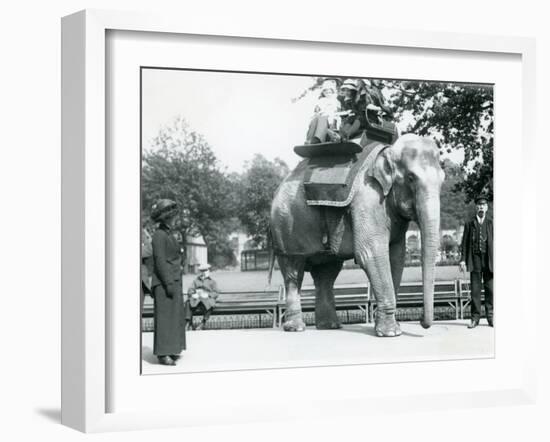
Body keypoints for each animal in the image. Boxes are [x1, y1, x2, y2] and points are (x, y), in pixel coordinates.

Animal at [270, 133, 446, 336]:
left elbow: (396, 256)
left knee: (326, 274)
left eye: (443, 180)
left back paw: (330, 326)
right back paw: (296, 328)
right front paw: (391, 333)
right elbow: (372, 254)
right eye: (411, 178)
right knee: (293, 272)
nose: (421, 321)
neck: (387, 151)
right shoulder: (367, 197)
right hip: (286, 226)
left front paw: (393, 329)